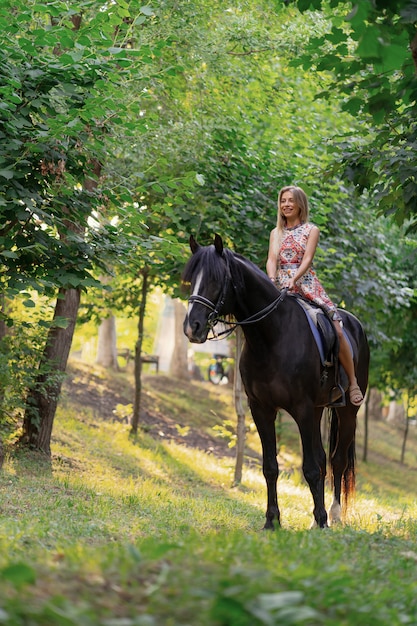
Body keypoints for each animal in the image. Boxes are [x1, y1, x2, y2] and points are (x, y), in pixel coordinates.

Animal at [182, 234, 368, 528]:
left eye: (215, 279)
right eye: (191, 279)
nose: (193, 327)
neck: (271, 336)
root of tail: (354, 323)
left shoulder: (302, 409)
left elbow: (311, 468)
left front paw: (321, 519)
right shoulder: (261, 409)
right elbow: (270, 467)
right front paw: (272, 520)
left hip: (348, 410)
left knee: (337, 460)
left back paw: (334, 514)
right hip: (318, 410)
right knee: (324, 458)